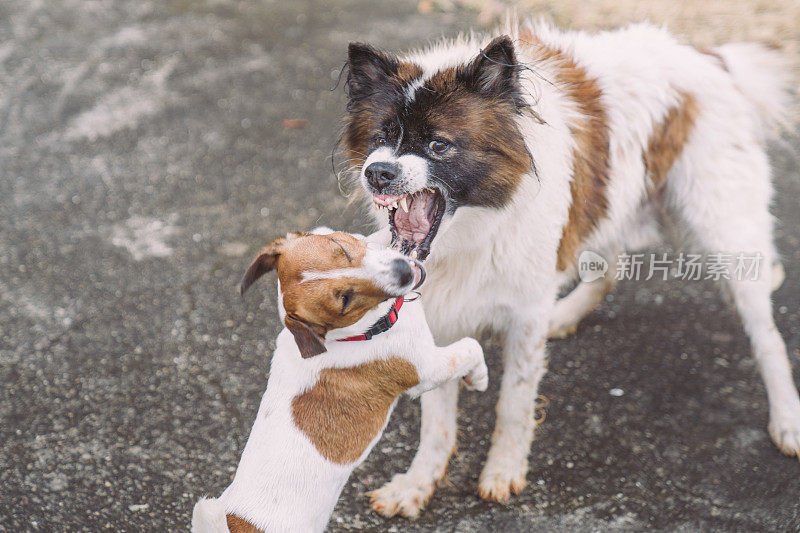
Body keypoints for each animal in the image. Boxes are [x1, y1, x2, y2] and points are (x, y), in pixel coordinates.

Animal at [192, 229, 488, 532]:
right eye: (345, 299)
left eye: (341, 248)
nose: (404, 271)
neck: (358, 332)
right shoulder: (427, 369)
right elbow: (471, 347)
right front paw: (478, 378)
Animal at [344, 16, 800, 516]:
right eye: (380, 138)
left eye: (438, 144)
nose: (377, 173)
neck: (473, 228)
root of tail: (709, 57)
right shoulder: (445, 309)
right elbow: (437, 416)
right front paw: (417, 483)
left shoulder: (524, 313)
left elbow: (515, 399)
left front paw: (504, 469)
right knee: (611, 266)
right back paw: (564, 314)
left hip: (726, 233)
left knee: (768, 335)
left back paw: (787, 419)